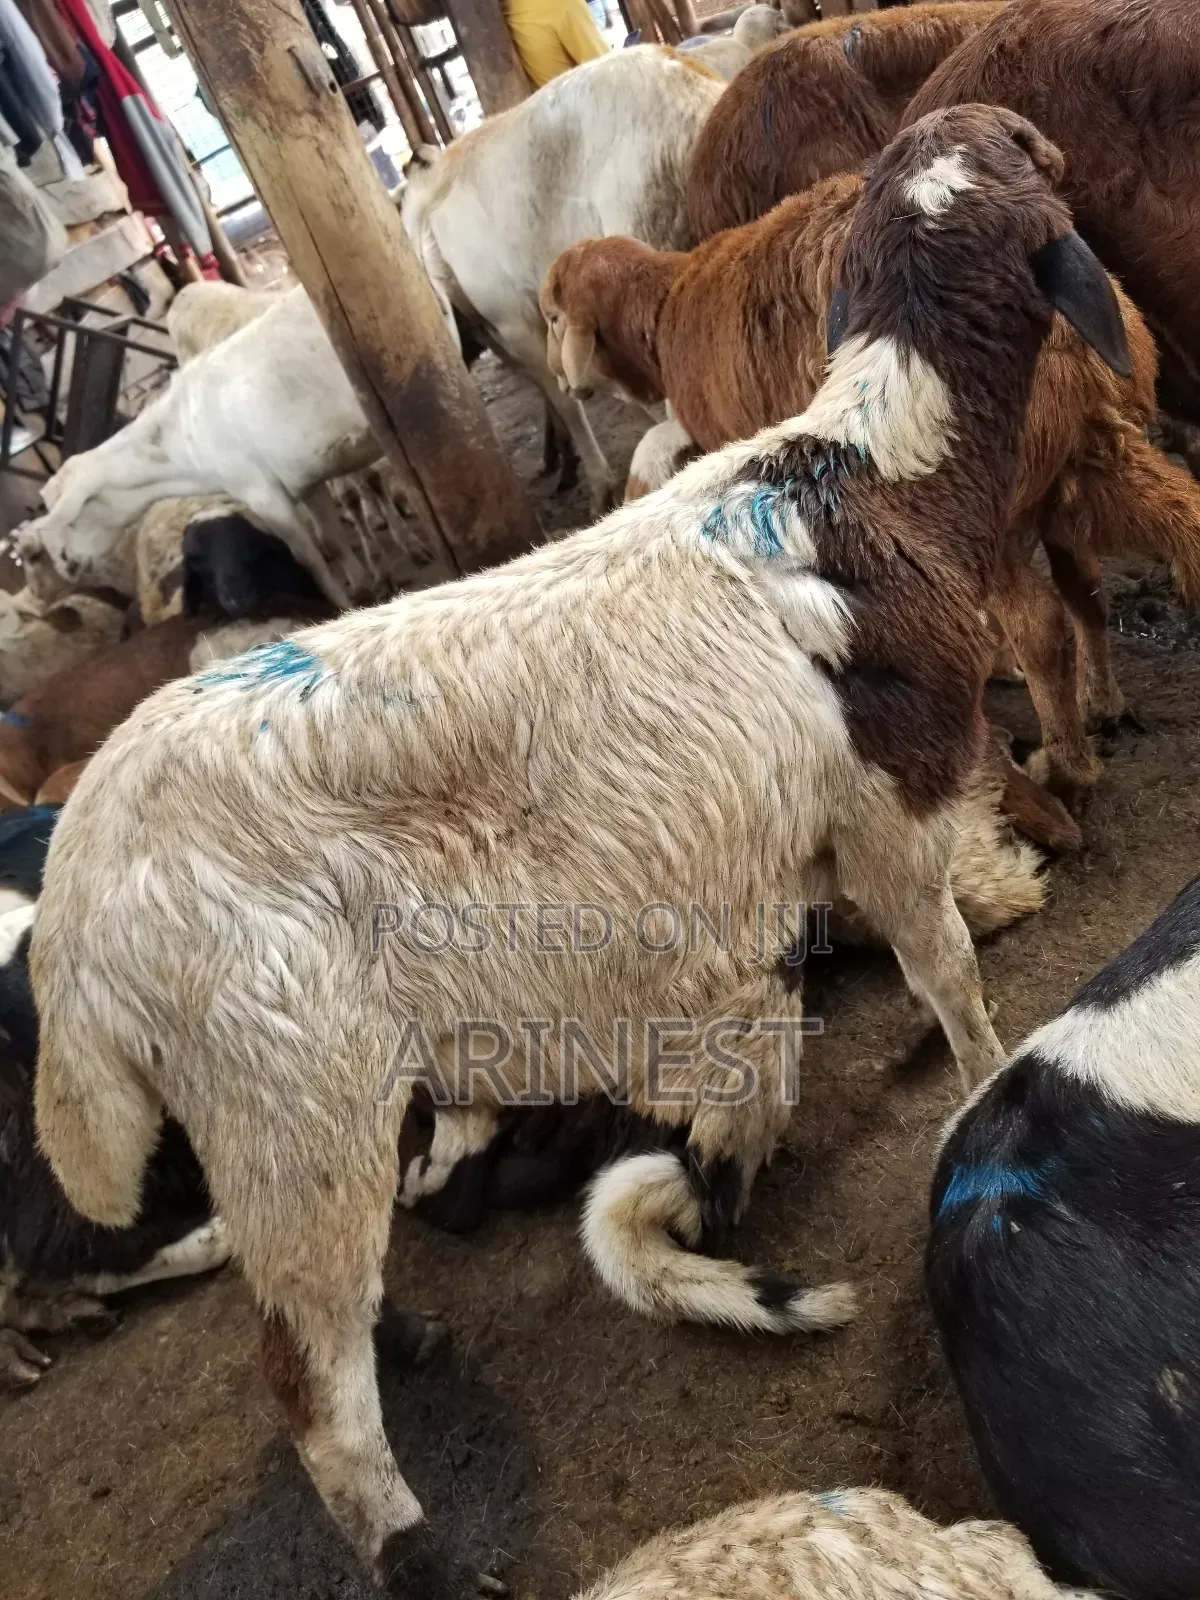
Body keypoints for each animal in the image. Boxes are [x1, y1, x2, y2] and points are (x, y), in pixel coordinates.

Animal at [28, 107, 1121, 1591]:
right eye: (1027, 153)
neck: (875, 472)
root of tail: (73, 917)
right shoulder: (885, 806)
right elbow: (948, 977)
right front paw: (974, 1075)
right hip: (284, 1081)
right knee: (307, 1384)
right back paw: (414, 1545)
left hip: (269, 1104)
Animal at [542, 172, 1200, 795]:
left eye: (552, 317)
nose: (558, 377)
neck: (667, 305)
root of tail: (1070, 345)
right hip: (1074, 464)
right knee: (1094, 578)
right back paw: (1101, 704)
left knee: (1040, 622)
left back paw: (1066, 768)